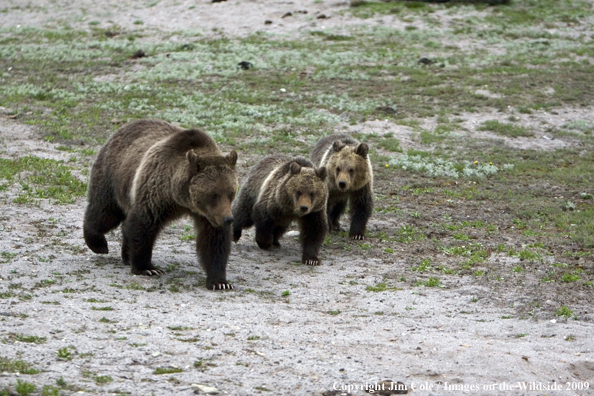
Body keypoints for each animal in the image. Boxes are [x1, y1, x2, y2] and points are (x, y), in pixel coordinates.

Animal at [82, 119, 238, 290]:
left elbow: (214, 241)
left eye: (231, 193)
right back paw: (98, 244)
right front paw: (148, 268)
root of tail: (121, 129)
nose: (228, 219)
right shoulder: (156, 192)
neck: (180, 198)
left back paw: (126, 255)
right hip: (112, 177)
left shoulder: (208, 214)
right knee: (105, 212)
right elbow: (143, 225)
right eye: (214, 194)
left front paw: (220, 282)